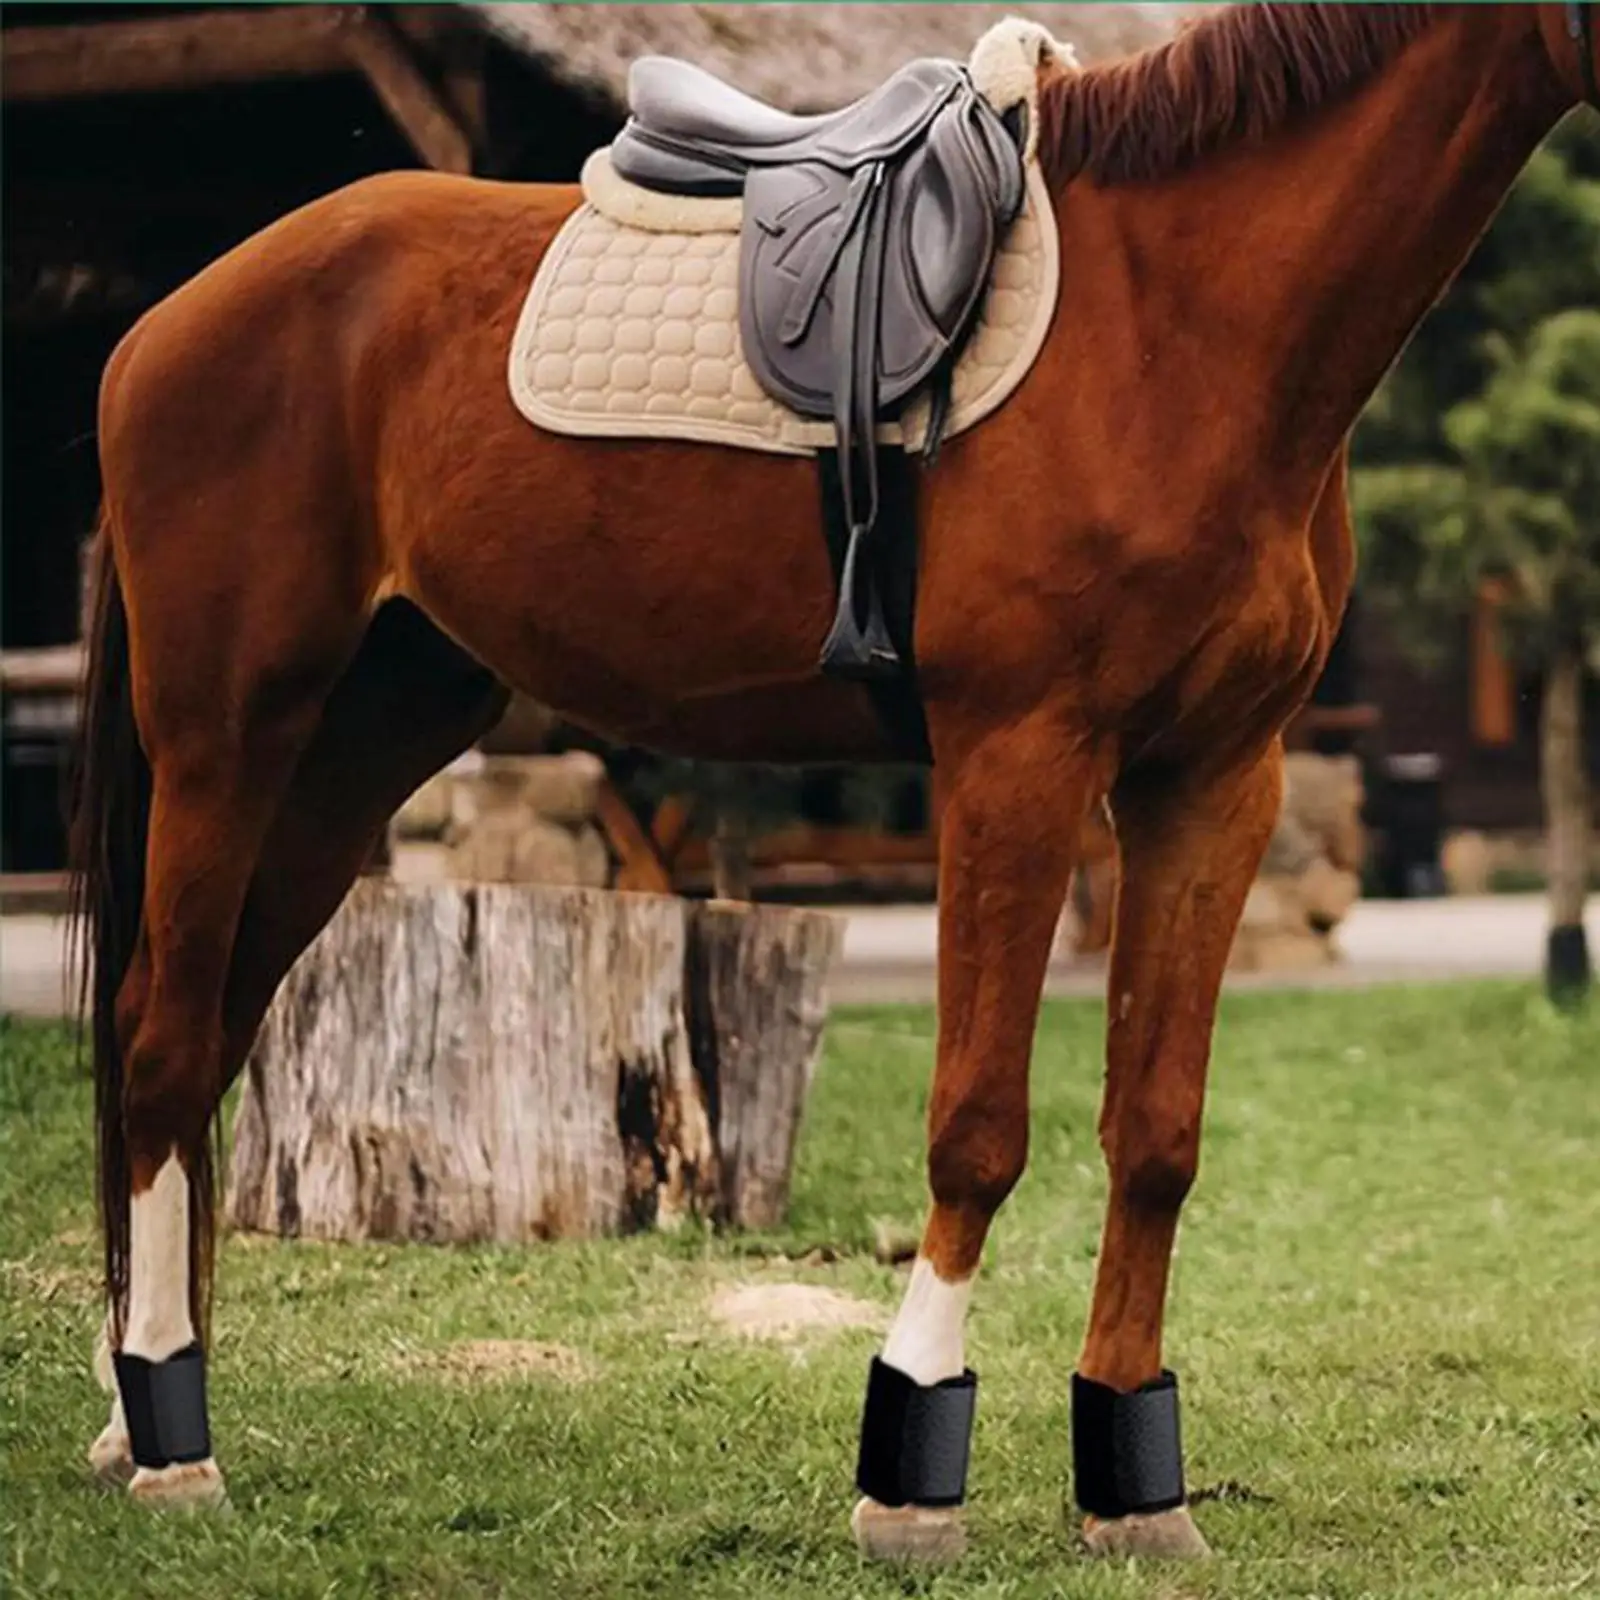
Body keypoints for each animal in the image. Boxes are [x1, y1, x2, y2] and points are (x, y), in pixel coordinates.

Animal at [70, 1, 1596, 1561]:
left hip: (351, 754)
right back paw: (177, 1445)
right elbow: (977, 1129)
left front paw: (1136, 1488)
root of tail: (161, 326)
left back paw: (135, 1415)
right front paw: (910, 1468)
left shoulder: (1215, 784)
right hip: (224, 739)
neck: (1179, 318)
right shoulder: (1018, 760)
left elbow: (1156, 1134)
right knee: (163, 1043)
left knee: (193, 1041)